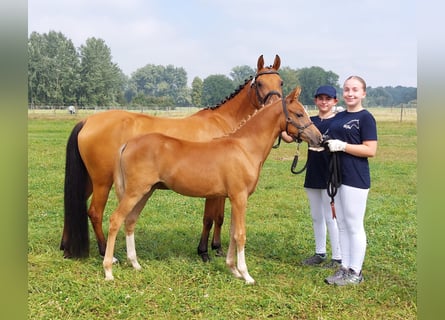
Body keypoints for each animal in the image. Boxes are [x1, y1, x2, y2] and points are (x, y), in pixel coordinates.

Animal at [61, 55, 282, 260]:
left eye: (280, 82)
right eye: (260, 83)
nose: (274, 106)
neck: (224, 124)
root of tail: (87, 121)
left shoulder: (221, 189)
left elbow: (219, 217)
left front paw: (217, 247)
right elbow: (209, 218)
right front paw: (203, 251)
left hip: (89, 180)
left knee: (74, 205)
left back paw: (66, 247)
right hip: (102, 182)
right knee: (95, 212)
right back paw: (104, 252)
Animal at [102, 87, 320, 282]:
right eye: (299, 113)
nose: (319, 137)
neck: (245, 147)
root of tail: (128, 144)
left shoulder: (233, 198)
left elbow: (232, 232)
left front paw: (233, 270)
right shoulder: (240, 198)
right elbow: (240, 234)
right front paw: (246, 275)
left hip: (145, 192)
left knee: (130, 221)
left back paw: (135, 264)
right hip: (134, 192)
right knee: (115, 220)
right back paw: (108, 271)